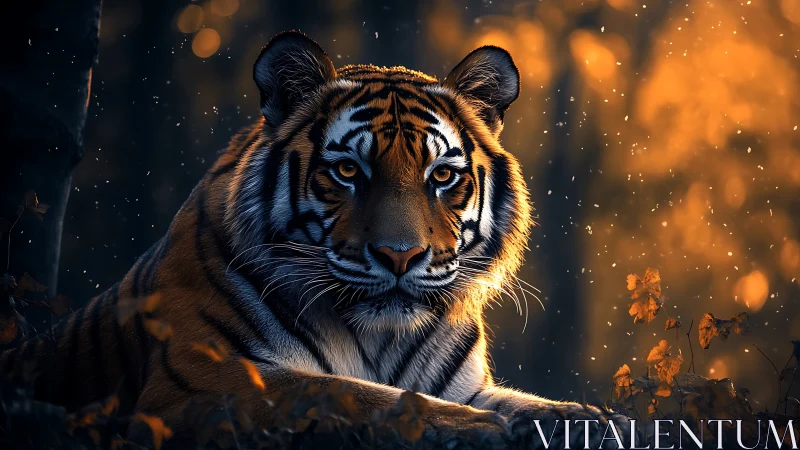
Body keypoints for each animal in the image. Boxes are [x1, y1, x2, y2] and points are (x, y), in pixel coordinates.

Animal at [1, 31, 632, 448]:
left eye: (441, 176)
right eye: (348, 171)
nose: (401, 256)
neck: (380, 337)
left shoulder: (466, 385)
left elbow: (546, 408)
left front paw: (603, 422)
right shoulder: (202, 378)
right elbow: (346, 392)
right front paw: (481, 430)